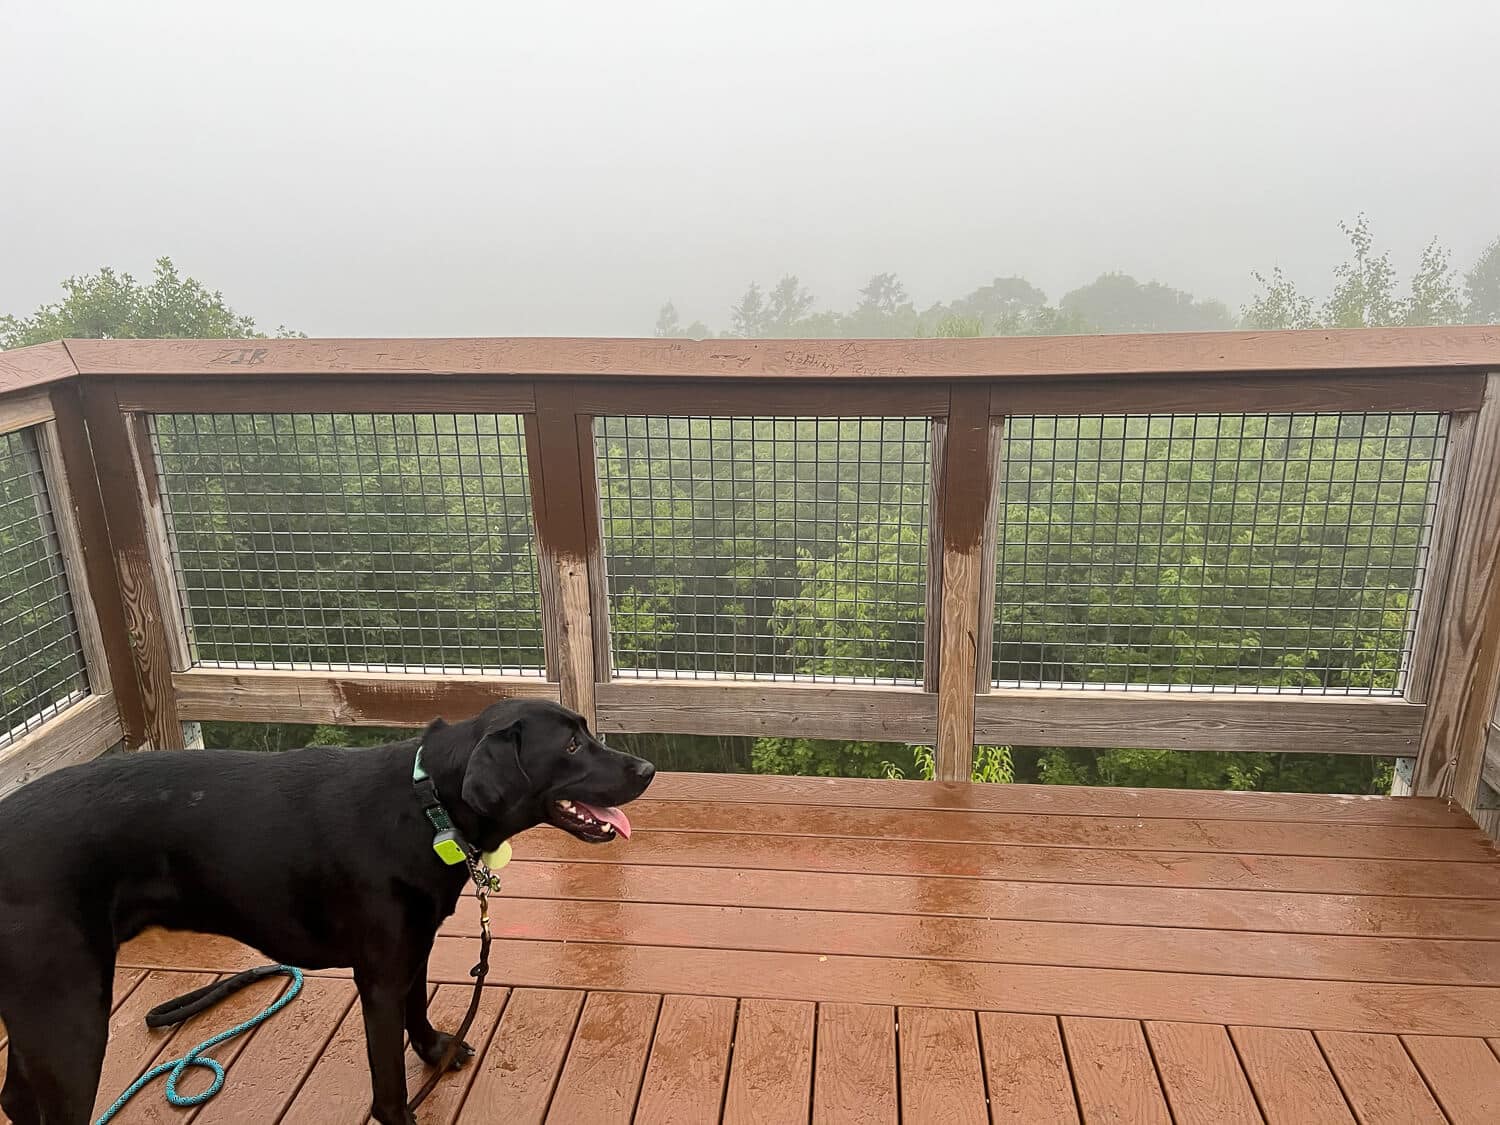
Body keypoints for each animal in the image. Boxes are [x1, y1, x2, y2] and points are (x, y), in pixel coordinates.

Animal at [0, 702, 657, 1122]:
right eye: (570, 746)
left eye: (586, 733)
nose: (648, 769)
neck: (427, 807)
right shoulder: (380, 976)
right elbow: (388, 1084)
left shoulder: (411, 951)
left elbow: (420, 1010)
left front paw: (436, 1053)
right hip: (71, 1017)